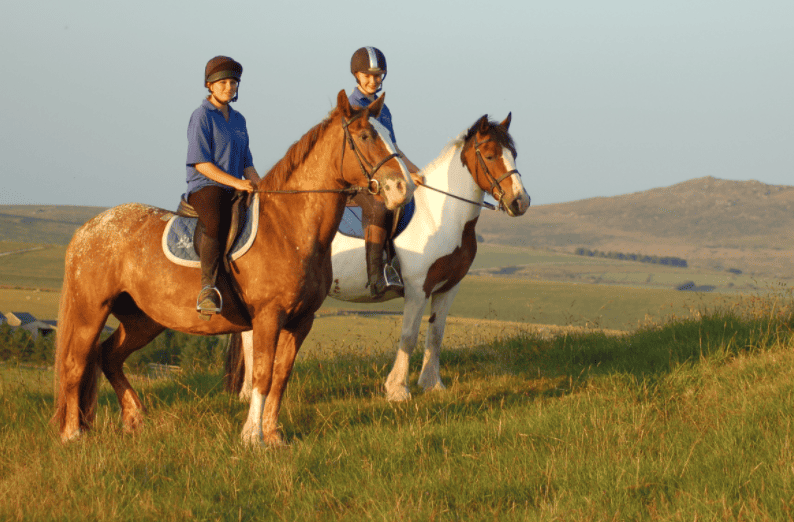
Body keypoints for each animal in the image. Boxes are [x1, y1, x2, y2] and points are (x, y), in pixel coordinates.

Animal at [52, 89, 414, 442]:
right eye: (365, 136)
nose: (403, 188)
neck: (288, 226)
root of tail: (86, 230)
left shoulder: (302, 320)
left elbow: (281, 376)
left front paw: (273, 435)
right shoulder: (268, 316)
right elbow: (263, 374)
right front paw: (252, 436)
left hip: (143, 319)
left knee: (108, 356)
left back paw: (134, 418)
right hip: (90, 311)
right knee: (75, 364)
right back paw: (72, 434)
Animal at [226, 112, 528, 398]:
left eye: (514, 153)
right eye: (490, 155)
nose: (520, 202)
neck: (441, 216)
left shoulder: (448, 288)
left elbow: (436, 334)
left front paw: (432, 384)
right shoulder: (418, 288)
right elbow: (408, 336)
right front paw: (397, 389)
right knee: (251, 336)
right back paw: (246, 391)